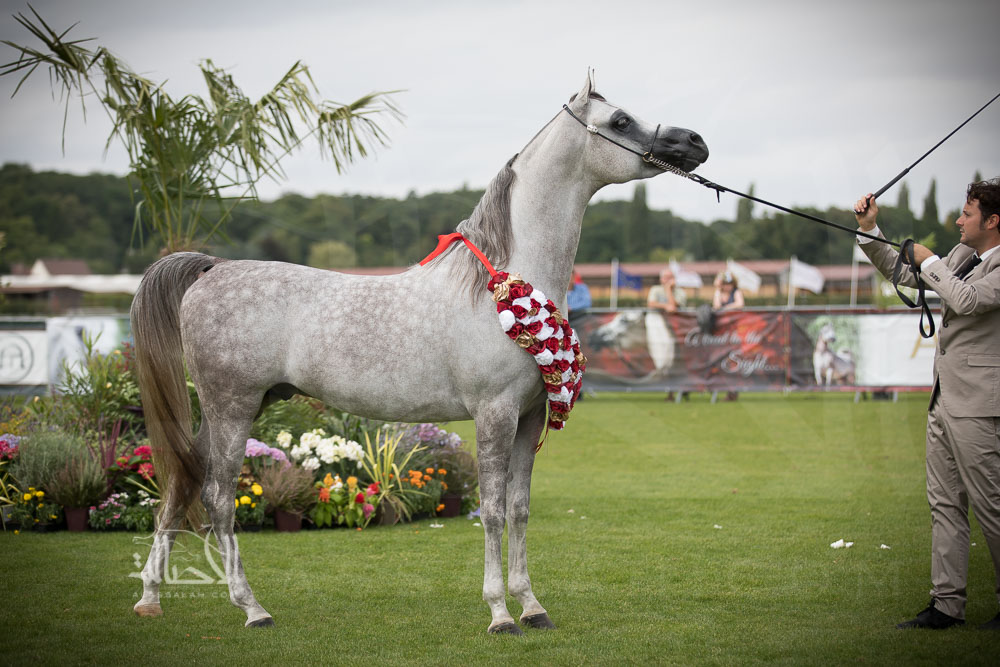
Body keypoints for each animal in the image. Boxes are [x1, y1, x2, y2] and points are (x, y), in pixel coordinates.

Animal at [129, 72, 709, 634]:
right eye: (620, 119)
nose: (694, 142)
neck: (499, 287)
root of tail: (212, 268)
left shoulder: (528, 416)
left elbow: (519, 510)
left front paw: (531, 606)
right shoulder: (494, 414)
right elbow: (491, 510)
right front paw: (500, 614)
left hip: (239, 406)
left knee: (181, 481)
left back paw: (151, 598)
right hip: (234, 406)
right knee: (217, 497)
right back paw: (252, 608)